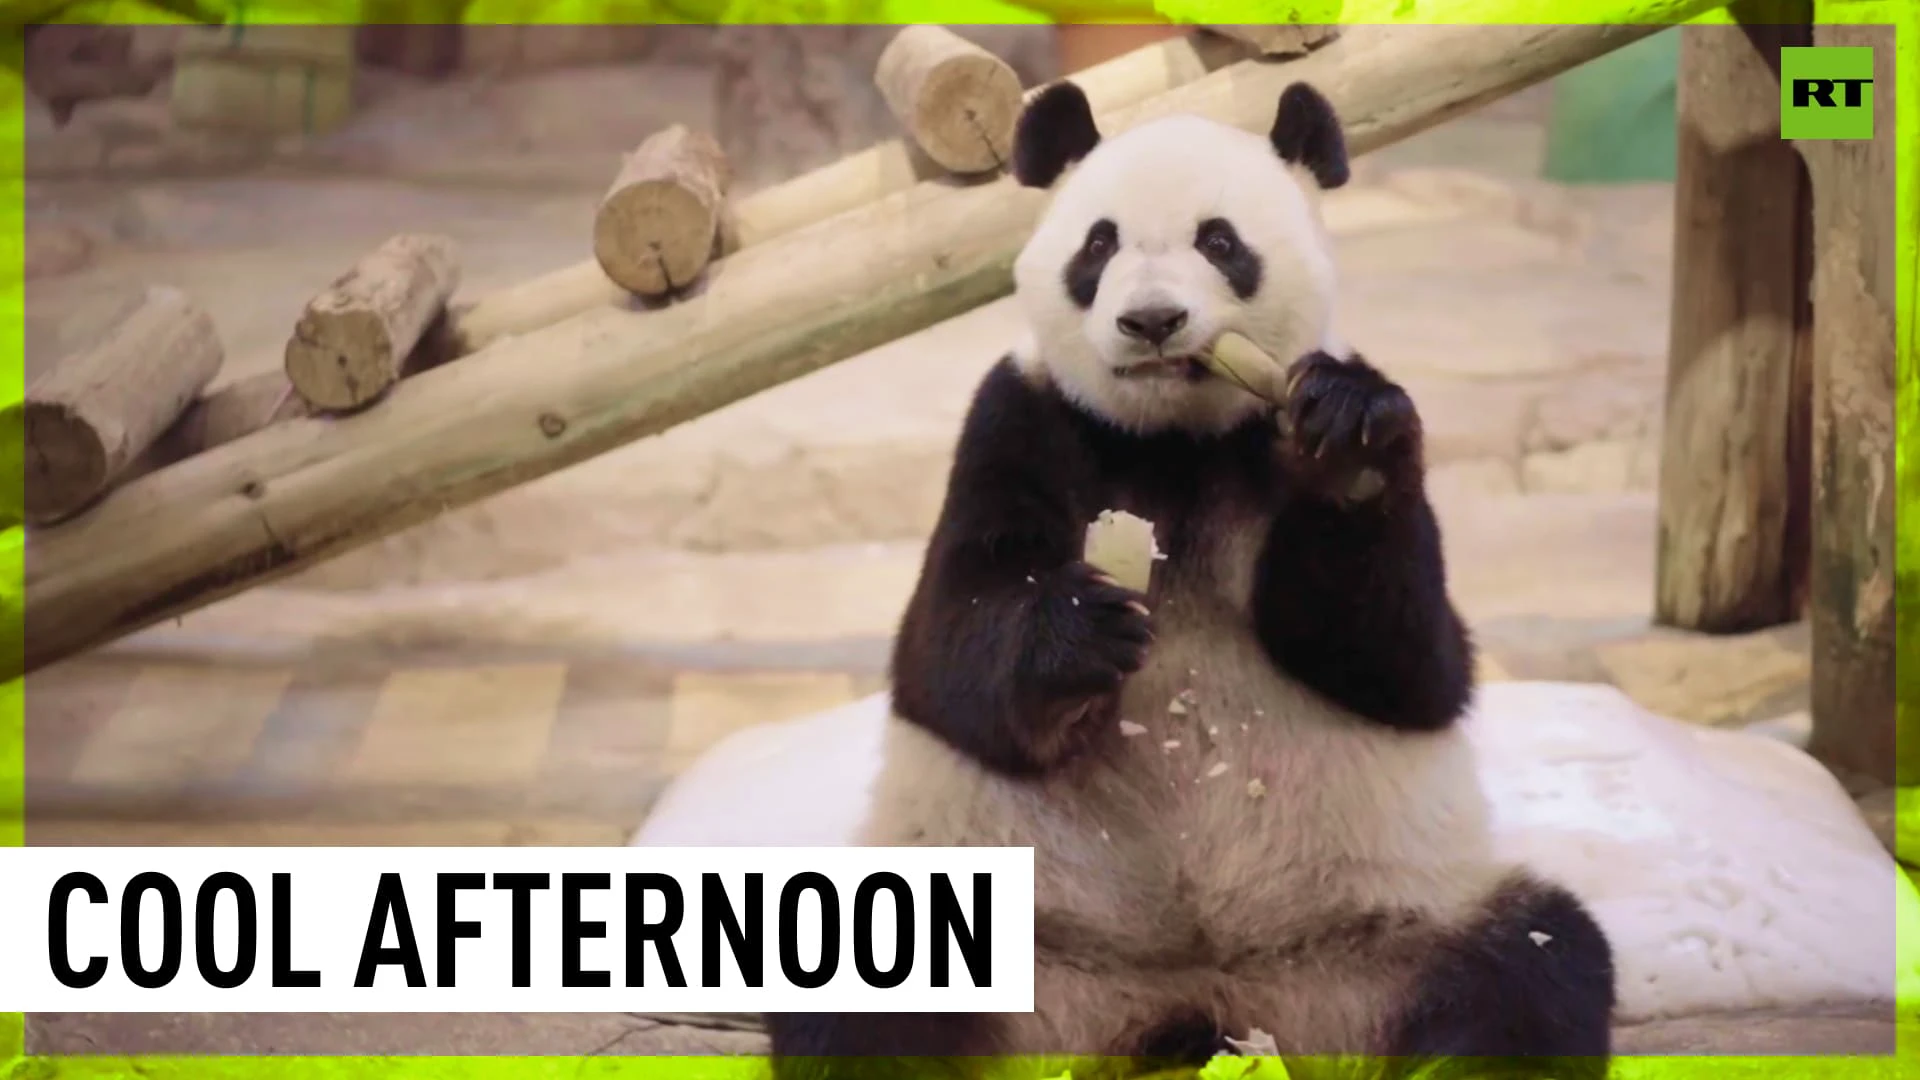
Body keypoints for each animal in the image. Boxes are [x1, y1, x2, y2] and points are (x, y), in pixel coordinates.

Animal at [764, 77, 1620, 1076]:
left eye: (1221, 242)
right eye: (1098, 245)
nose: (1151, 322)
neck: (1171, 440)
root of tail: (1193, 997)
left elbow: (1407, 664)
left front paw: (1352, 444)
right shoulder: (1021, 419)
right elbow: (947, 649)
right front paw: (1079, 636)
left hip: (1390, 934)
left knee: (1533, 968)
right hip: (970, 930)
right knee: (860, 1006)